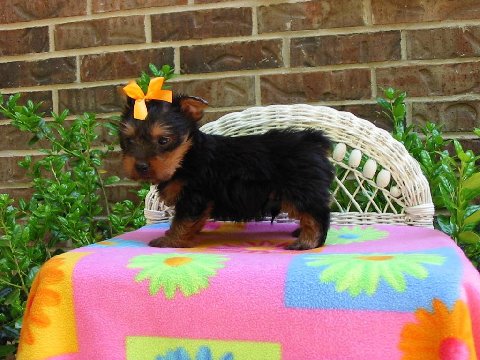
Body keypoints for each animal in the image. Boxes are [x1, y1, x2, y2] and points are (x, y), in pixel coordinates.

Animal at [120, 90, 334, 250]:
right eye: (128, 141)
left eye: (163, 140)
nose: (140, 166)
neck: (186, 157)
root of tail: (311, 141)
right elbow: (194, 220)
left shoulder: (193, 196)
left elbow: (182, 220)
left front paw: (171, 240)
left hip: (300, 190)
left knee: (317, 214)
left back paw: (307, 242)